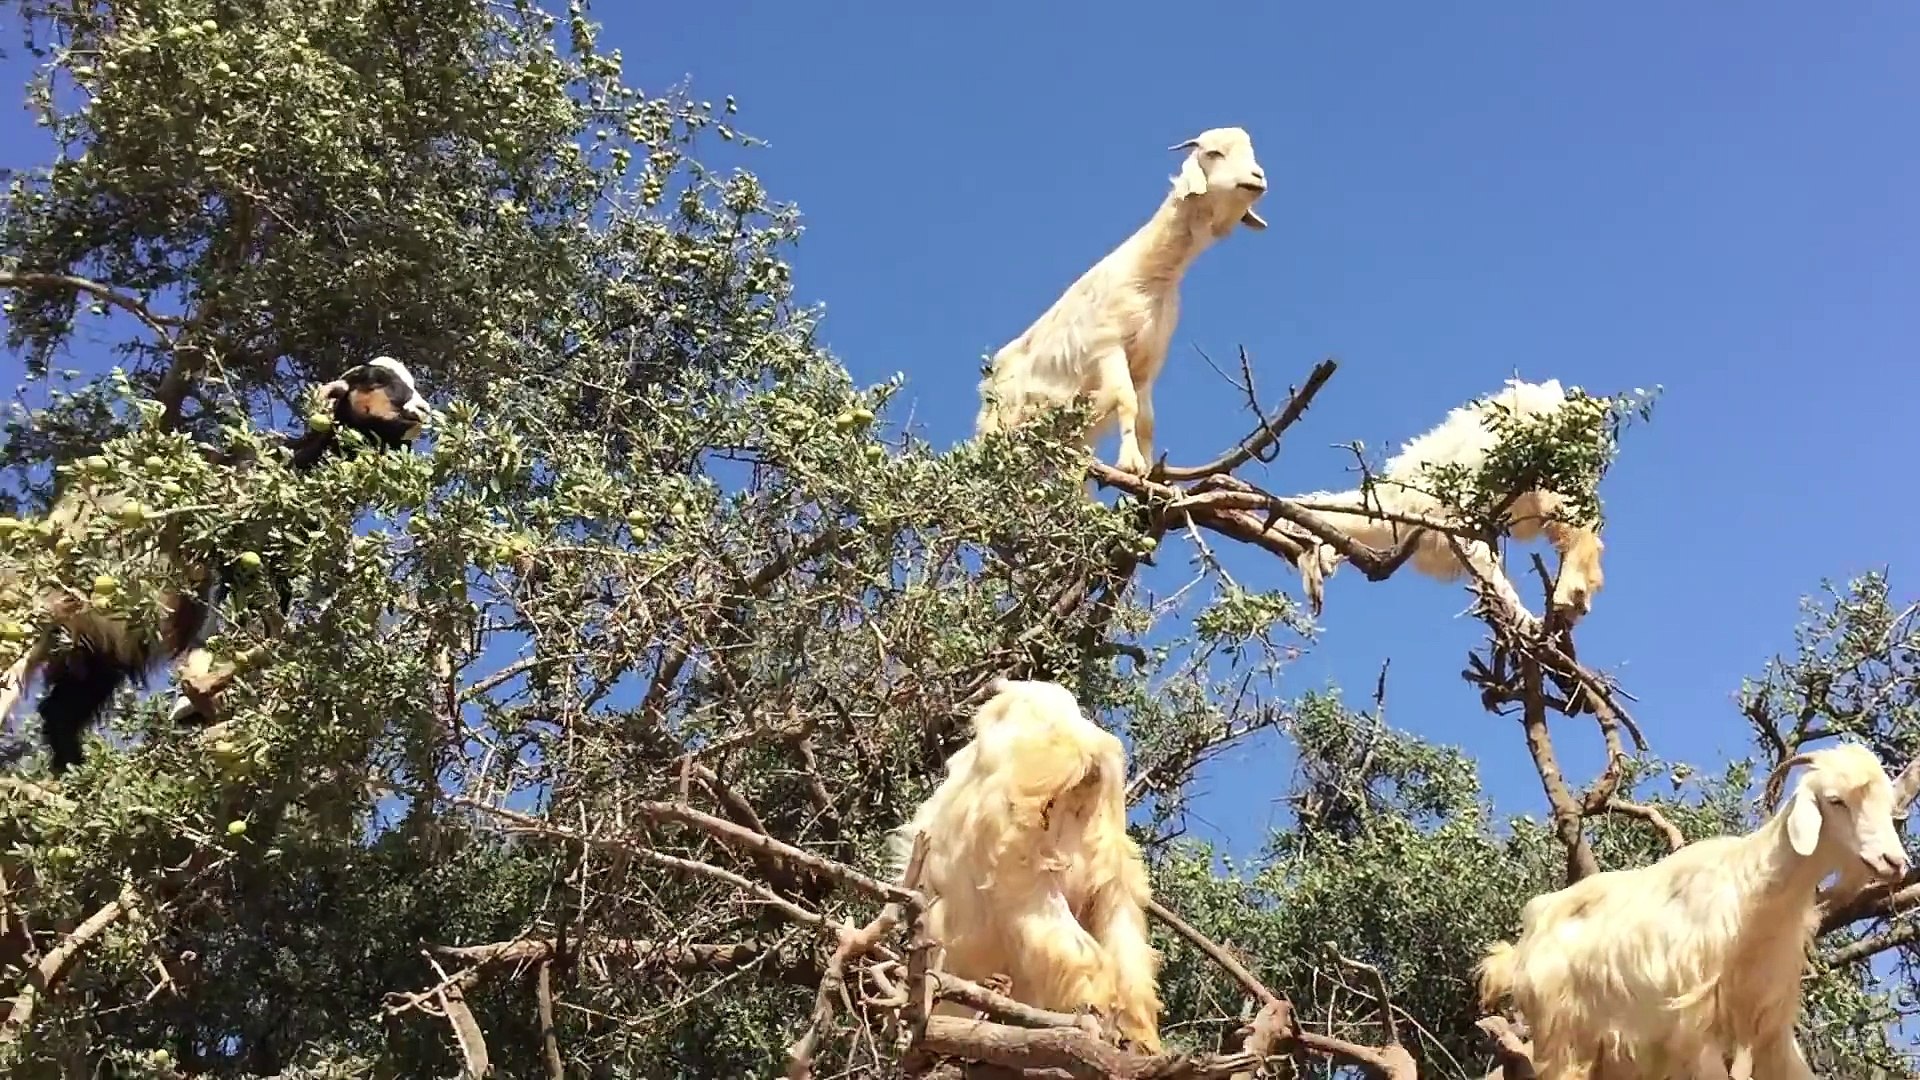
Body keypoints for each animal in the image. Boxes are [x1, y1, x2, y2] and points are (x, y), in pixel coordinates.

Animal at [0, 356, 433, 772]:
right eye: (375, 379)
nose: (421, 410)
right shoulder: (237, 555)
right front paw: (198, 693)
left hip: (97, 644)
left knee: (61, 710)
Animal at [975, 127, 1269, 477]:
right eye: (1213, 153)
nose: (1258, 177)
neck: (1151, 273)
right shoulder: (1108, 345)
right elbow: (1125, 400)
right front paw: (1130, 464)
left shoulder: (1146, 364)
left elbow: (1147, 420)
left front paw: (1149, 472)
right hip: (996, 426)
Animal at [1475, 743, 1910, 1079]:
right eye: (1836, 801)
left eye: (1886, 805)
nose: (1895, 862)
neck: (1751, 896)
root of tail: (1524, 941)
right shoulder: (1694, 1026)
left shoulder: (1769, 1024)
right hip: (1563, 1036)